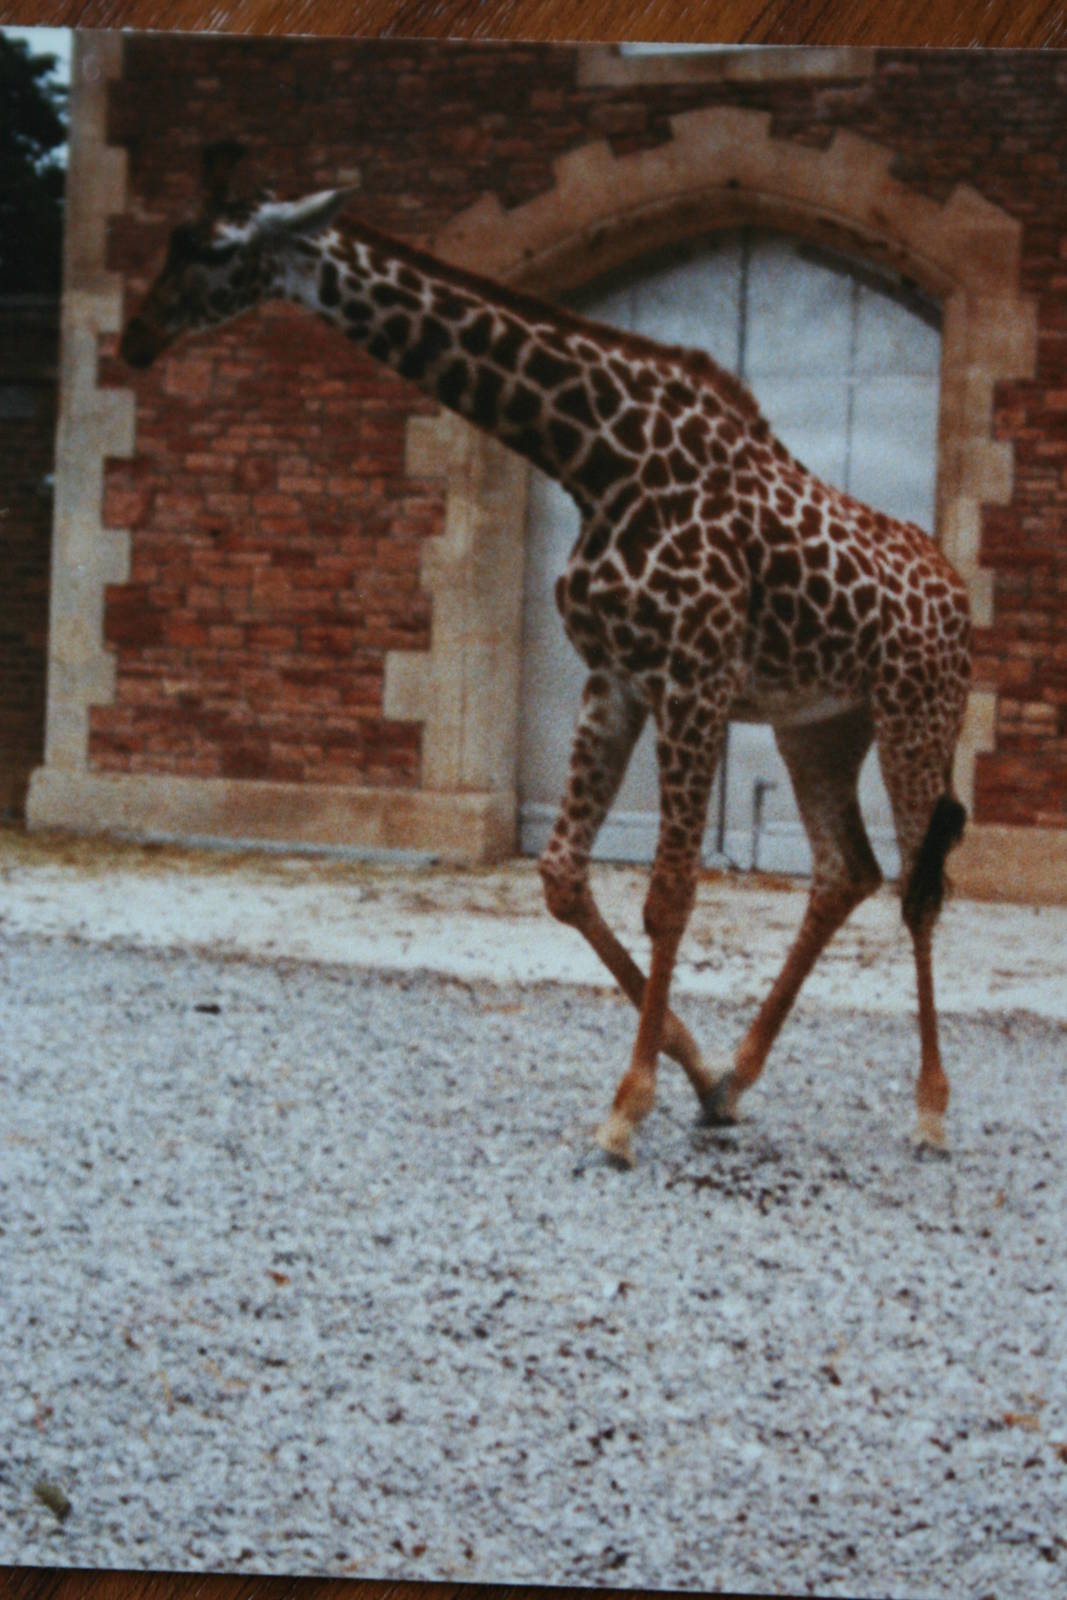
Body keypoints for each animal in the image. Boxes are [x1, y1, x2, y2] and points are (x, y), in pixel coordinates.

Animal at [120, 143, 973, 1166]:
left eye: (213, 249)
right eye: (170, 236)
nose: (134, 337)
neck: (593, 459)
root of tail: (961, 593)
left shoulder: (692, 676)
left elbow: (670, 892)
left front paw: (627, 1106)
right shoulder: (617, 675)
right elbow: (564, 875)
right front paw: (692, 1074)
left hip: (917, 711)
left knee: (922, 888)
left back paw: (930, 1110)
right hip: (819, 725)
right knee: (848, 869)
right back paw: (739, 1075)